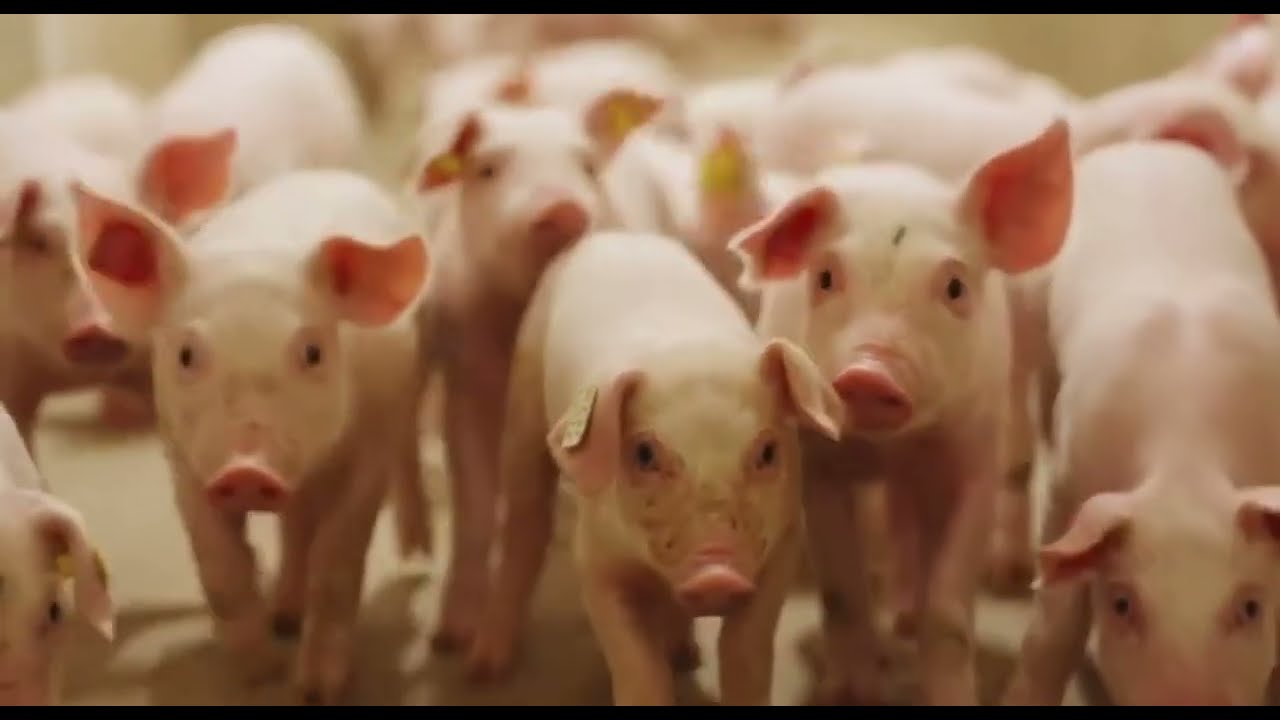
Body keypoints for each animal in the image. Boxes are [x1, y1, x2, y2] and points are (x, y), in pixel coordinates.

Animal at [73, 170, 429, 705]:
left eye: (313, 352)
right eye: (186, 354)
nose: (246, 470)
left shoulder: (370, 449)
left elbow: (338, 561)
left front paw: (317, 690)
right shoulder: (183, 461)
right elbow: (219, 566)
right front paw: (258, 671)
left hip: (403, 405)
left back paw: (417, 553)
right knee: (295, 527)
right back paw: (284, 617)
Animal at [409, 89, 663, 652]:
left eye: (587, 165)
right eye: (487, 168)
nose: (562, 207)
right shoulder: (465, 377)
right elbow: (475, 506)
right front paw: (452, 640)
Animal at [464, 229, 843, 702]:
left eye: (768, 452)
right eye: (644, 454)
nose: (715, 573)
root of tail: (611, 234)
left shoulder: (785, 543)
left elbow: (746, 652)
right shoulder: (597, 559)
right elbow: (638, 665)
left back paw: (684, 654)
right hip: (525, 398)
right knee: (524, 524)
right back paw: (484, 671)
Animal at [732, 120, 1072, 704]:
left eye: (954, 286)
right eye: (825, 278)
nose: (870, 372)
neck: (889, 448)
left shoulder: (971, 455)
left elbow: (950, 607)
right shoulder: (819, 466)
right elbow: (842, 589)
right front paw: (852, 693)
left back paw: (922, 612)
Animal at [1001, 140, 1280, 706]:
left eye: (1251, 607)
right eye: (1123, 604)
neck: (1186, 453)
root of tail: (1140, 146)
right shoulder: (1070, 485)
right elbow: (1053, 630)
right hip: (1026, 306)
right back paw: (1010, 573)